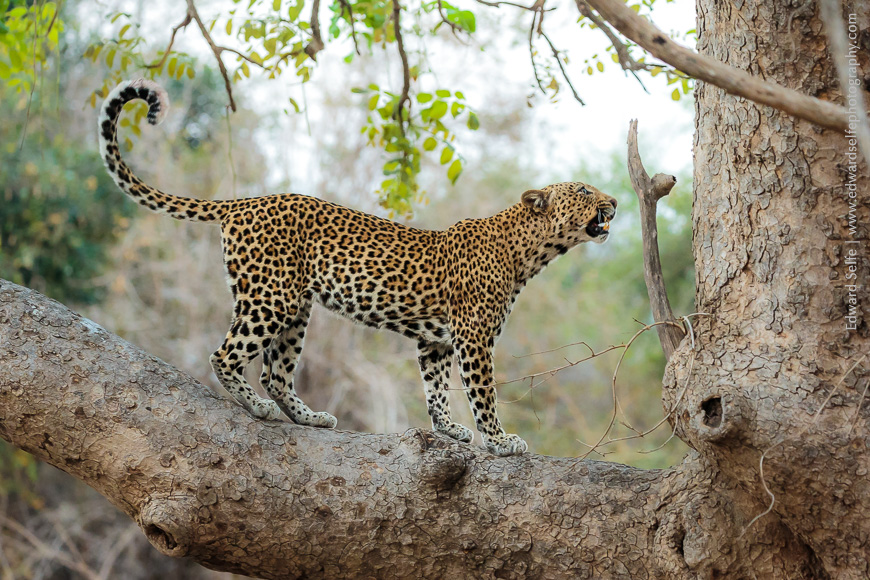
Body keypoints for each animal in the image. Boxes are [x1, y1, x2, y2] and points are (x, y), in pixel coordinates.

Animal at [97, 79, 617, 456]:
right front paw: (500, 439)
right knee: (225, 355)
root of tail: (243, 201)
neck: (530, 252)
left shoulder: (435, 340)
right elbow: (482, 392)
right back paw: (258, 408)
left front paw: (449, 431)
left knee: (276, 371)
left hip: (296, 307)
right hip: (270, 297)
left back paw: (309, 417)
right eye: (584, 190)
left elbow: (436, 390)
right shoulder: (473, 336)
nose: (613, 202)